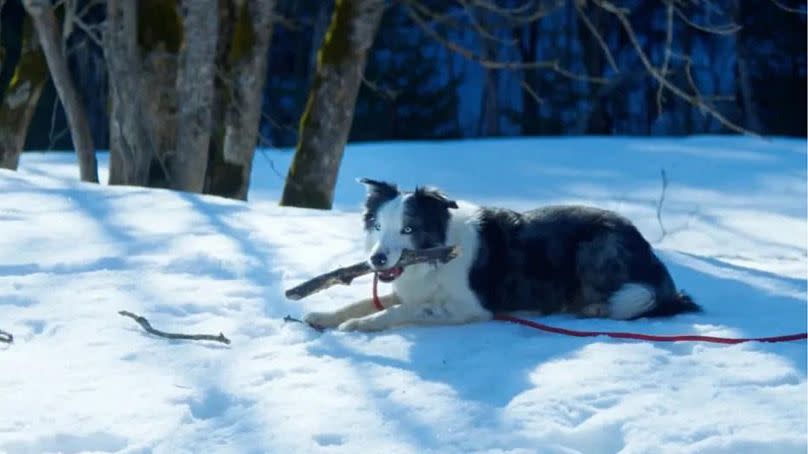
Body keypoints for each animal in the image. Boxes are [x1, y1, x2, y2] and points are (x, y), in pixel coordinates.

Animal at [306, 179, 696, 332]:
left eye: (408, 229)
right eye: (376, 226)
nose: (377, 261)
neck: (437, 257)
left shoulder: (470, 308)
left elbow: (401, 311)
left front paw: (360, 325)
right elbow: (361, 302)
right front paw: (323, 316)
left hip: (597, 244)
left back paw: (594, 308)